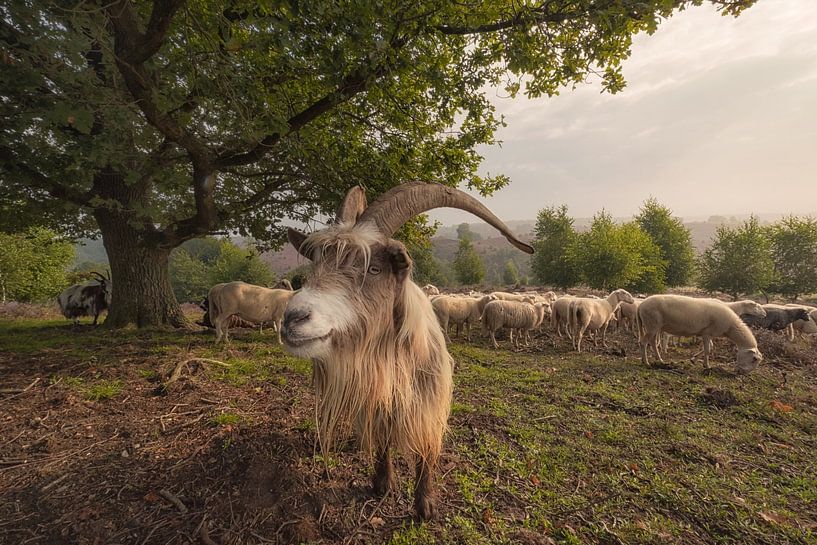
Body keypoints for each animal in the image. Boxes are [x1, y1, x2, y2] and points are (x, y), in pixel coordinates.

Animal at [282, 183, 536, 520]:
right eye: (316, 265)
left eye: (374, 268)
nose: (292, 318)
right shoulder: (377, 402)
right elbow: (382, 443)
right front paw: (382, 483)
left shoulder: (430, 403)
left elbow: (426, 449)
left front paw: (424, 504)